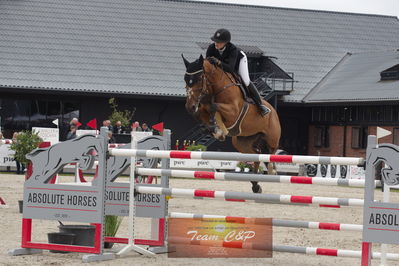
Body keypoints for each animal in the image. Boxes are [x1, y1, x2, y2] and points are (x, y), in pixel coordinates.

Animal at [183, 54, 282, 192]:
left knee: (271, 153)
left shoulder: (233, 112)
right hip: (242, 142)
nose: (189, 106)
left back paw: (272, 170)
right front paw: (213, 129)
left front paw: (217, 129)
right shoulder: (202, 107)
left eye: (199, 79)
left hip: (272, 138)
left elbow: (213, 106)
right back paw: (255, 185)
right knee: (256, 156)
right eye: (186, 80)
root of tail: (273, 110)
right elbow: (201, 112)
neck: (215, 88)